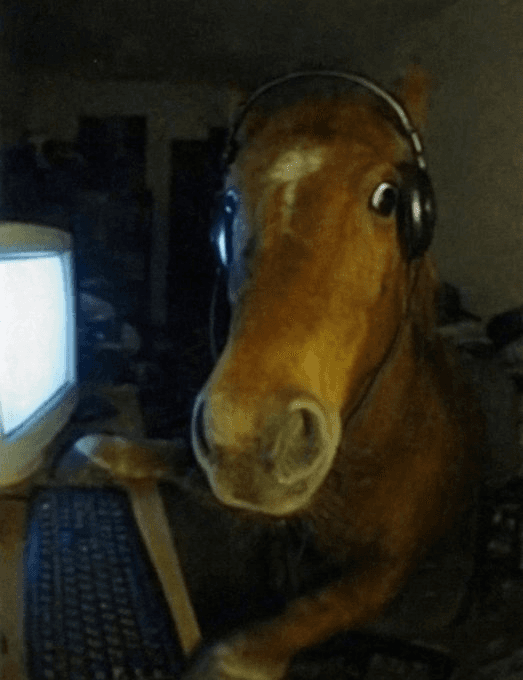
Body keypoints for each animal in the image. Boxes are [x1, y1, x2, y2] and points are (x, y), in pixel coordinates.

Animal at [184, 66, 485, 679]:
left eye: (388, 197)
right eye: (230, 201)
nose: (245, 434)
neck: (368, 459)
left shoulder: (388, 571)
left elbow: (309, 613)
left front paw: (232, 659)